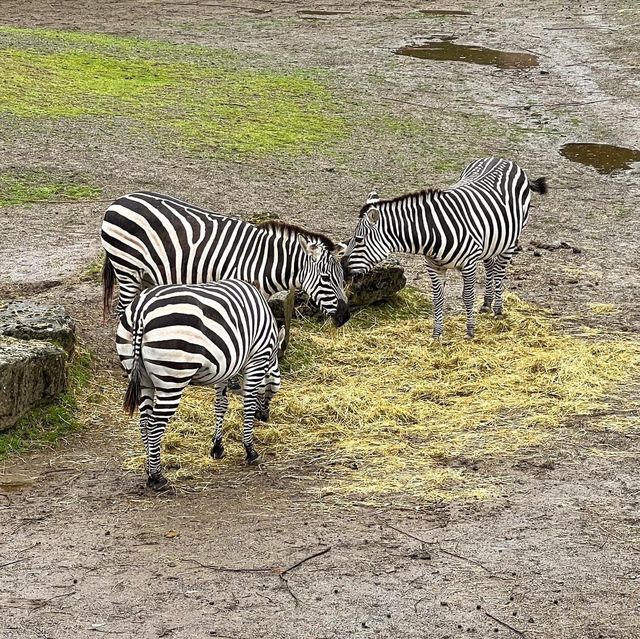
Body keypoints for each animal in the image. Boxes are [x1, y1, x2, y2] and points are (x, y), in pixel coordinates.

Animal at [100, 191, 350, 324]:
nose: (346, 317)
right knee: (123, 308)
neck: (262, 262)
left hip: (146, 272)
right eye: (326, 278)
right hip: (127, 267)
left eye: (341, 277)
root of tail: (119, 200)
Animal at [119, 278, 284, 490]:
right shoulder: (258, 357)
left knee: (144, 422)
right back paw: (157, 477)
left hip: (142, 378)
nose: (264, 417)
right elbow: (248, 404)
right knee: (155, 424)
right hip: (172, 377)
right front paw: (250, 450)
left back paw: (149, 470)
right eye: (274, 388)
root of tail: (141, 310)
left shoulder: (225, 366)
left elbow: (221, 405)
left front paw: (217, 447)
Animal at [342, 158, 548, 340]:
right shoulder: (434, 267)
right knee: (490, 266)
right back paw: (487, 303)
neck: (432, 234)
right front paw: (437, 334)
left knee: (499, 272)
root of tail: (506, 160)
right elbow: (438, 298)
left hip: (510, 240)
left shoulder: (468, 264)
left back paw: (497, 309)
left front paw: (470, 332)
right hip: (490, 241)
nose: (342, 268)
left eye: (358, 239)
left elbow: (467, 296)